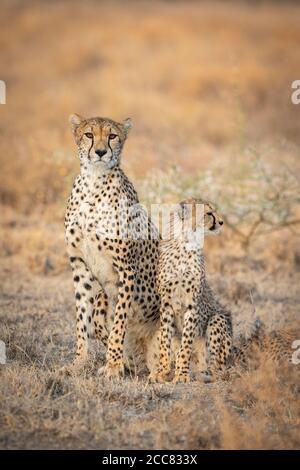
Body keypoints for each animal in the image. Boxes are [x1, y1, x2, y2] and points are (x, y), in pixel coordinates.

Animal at [64, 114, 161, 378]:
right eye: (89, 134)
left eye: (112, 136)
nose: (100, 152)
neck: (93, 181)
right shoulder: (79, 266)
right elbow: (82, 319)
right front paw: (79, 363)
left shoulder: (126, 269)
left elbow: (119, 322)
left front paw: (113, 365)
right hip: (101, 299)